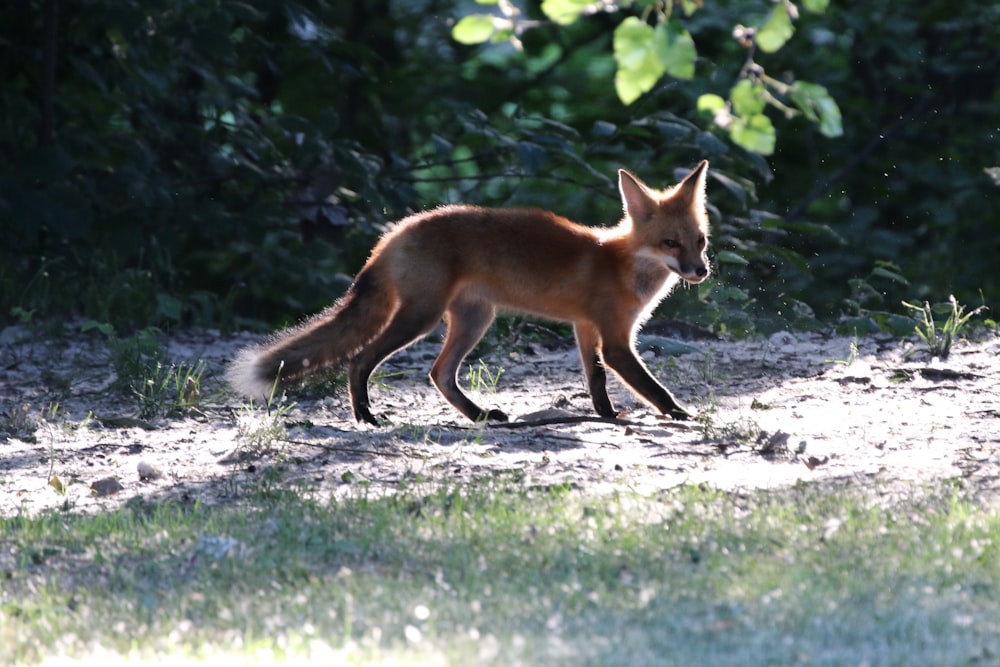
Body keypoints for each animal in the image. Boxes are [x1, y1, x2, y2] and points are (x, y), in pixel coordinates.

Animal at [227, 160, 712, 428]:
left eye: (700, 241)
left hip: (474, 319)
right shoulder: (614, 339)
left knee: (439, 374)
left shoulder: (584, 328)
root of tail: (393, 233)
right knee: (360, 359)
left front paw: (607, 416)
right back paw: (366, 416)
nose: (701, 271)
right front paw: (681, 415)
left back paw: (478, 417)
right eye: (671, 244)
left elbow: (595, 382)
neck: (621, 263)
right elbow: (651, 387)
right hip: (422, 317)